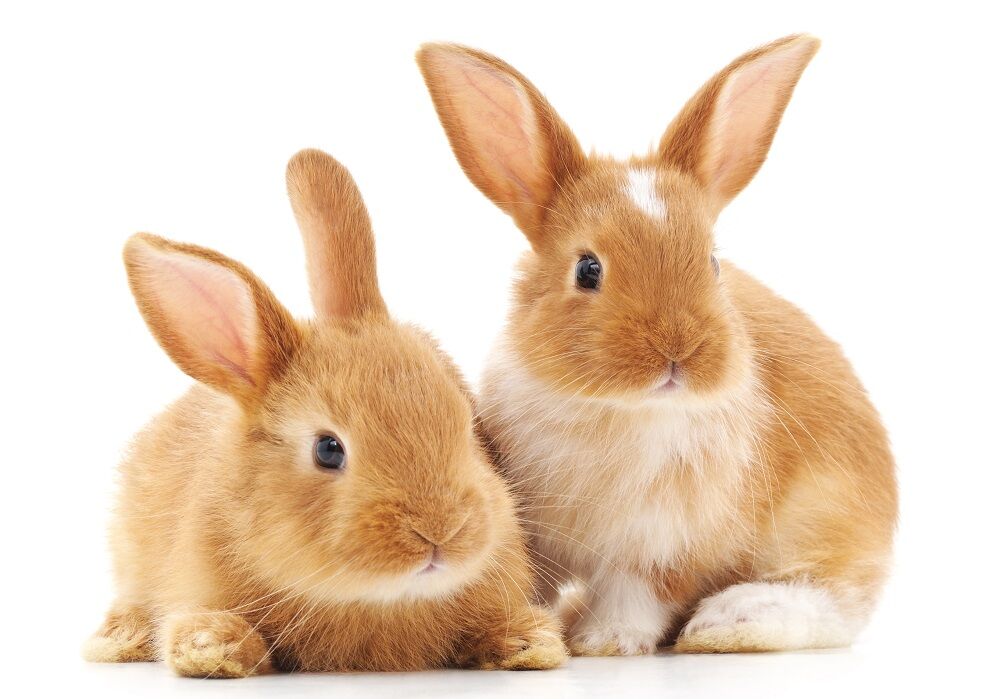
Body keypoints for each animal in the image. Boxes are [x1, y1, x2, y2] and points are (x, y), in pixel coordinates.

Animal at [82, 148, 567, 676]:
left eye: (465, 422)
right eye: (328, 450)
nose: (440, 529)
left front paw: (529, 644)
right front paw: (212, 648)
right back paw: (117, 639)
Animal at [417, 35, 897, 655]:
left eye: (712, 263)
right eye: (588, 269)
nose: (678, 352)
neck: (619, 410)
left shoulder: (668, 546)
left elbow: (640, 593)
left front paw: (606, 641)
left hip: (827, 526)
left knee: (834, 603)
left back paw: (731, 620)